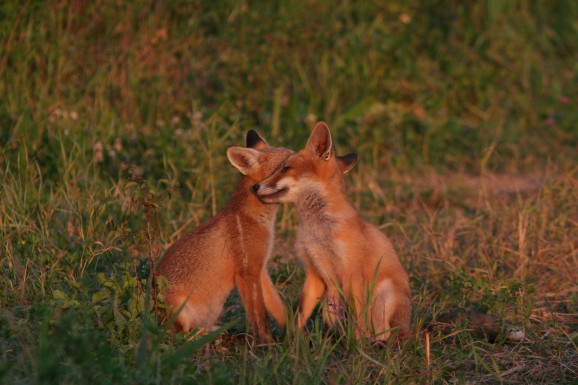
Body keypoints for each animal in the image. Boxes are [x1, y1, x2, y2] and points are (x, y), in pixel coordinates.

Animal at [155, 130, 292, 340]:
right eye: (285, 165)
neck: (254, 218)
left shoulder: (260, 268)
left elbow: (277, 307)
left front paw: (294, 333)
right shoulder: (246, 272)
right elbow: (260, 317)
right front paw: (266, 343)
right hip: (180, 311)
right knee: (180, 335)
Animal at [254, 121, 412, 340]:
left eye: (285, 168)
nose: (255, 186)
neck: (318, 231)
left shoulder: (352, 273)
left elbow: (359, 322)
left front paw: (357, 346)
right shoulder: (314, 271)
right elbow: (300, 314)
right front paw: (292, 342)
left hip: (385, 293)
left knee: (382, 333)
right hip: (330, 307)